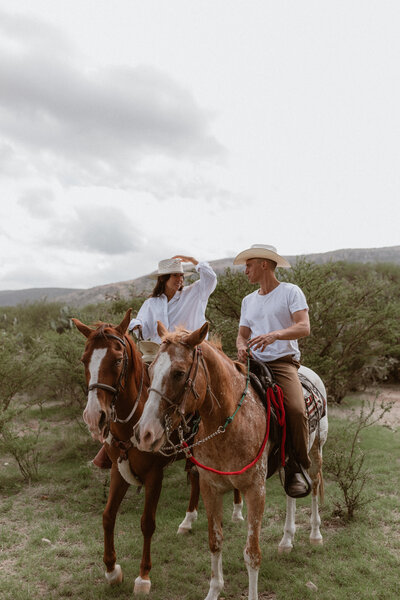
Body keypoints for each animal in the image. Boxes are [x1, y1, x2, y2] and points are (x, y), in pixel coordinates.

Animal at [72, 310, 244, 596]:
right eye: (85, 360)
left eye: (117, 360)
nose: (94, 416)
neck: (133, 418)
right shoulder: (119, 470)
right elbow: (108, 516)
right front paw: (111, 570)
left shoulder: (154, 475)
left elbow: (147, 522)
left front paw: (143, 577)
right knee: (195, 477)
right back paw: (188, 520)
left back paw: (237, 511)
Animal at [134, 324, 328, 600]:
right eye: (150, 371)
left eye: (179, 373)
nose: (145, 433)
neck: (230, 423)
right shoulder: (210, 489)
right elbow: (215, 542)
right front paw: (214, 591)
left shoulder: (255, 490)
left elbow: (252, 553)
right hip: (288, 463)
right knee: (292, 492)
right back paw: (286, 541)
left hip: (315, 451)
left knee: (314, 486)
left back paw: (315, 534)